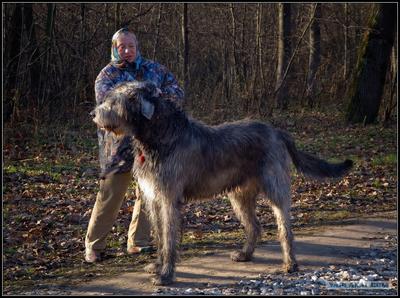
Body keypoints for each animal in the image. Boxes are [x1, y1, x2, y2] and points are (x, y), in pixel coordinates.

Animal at [91, 80, 354, 286]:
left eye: (114, 101)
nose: (93, 114)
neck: (160, 136)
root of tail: (277, 132)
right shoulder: (153, 198)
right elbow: (160, 236)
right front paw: (157, 266)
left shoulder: (169, 199)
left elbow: (169, 237)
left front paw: (166, 275)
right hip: (238, 195)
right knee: (255, 225)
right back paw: (246, 254)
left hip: (275, 187)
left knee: (284, 227)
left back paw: (290, 263)